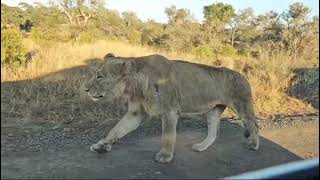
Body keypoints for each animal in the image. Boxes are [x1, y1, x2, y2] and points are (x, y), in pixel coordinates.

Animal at [84, 53, 258, 163]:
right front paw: (101, 145)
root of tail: (244, 76)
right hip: (213, 111)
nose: (85, 89)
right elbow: (116, 129)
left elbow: (167, 135)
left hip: (242, 105)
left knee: (253, 125)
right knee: (214, 132)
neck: (134, 86)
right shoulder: (136, 112)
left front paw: (165, 156)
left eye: (99, 76)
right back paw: (200, 147)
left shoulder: (169, 111)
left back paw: (253, 145)